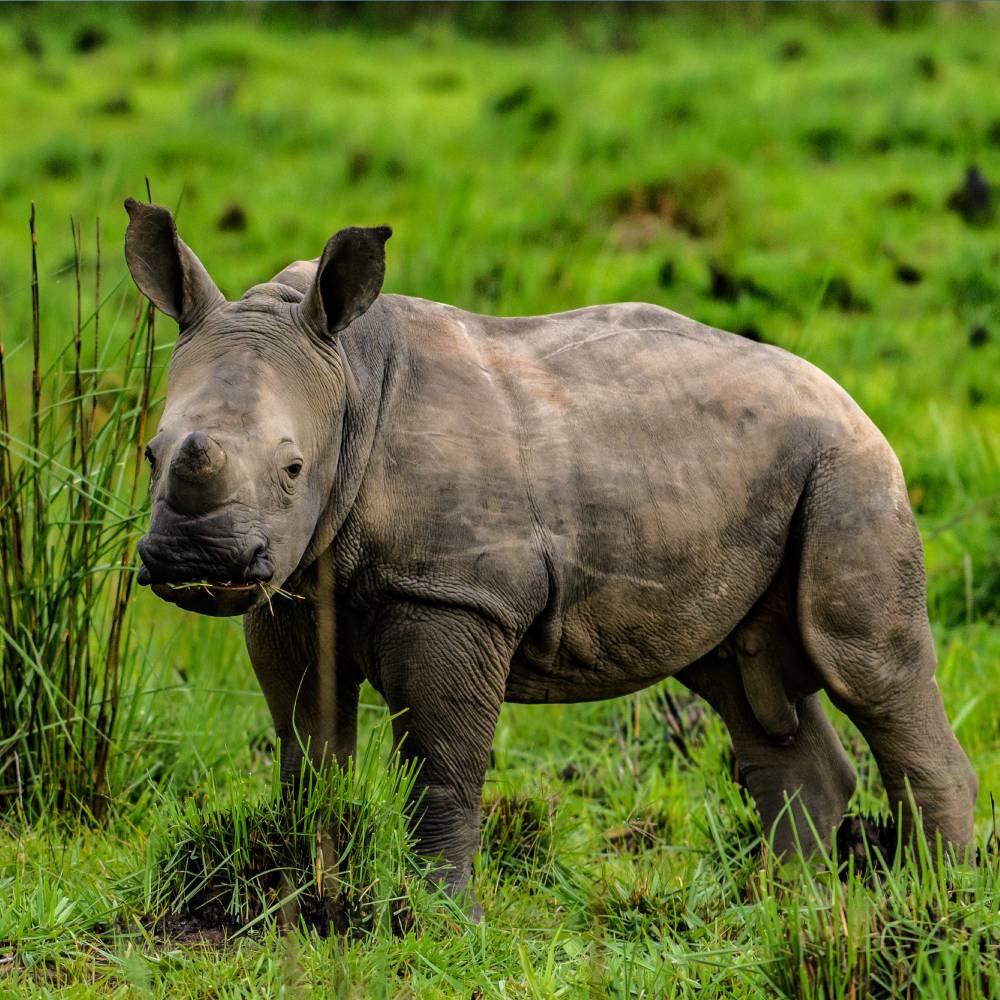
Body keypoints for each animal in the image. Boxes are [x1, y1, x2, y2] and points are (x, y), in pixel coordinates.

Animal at [125, 197, 976, 898]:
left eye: (294, 469)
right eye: (150, 454)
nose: (196, 562)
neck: (348, 383)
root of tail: (848, 396)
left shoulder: (455, 594)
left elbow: (441, 764)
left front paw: (439, 919)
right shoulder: (298, 589)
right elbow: (307, 751)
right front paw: (307, 896)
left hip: (850, 469)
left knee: (868, 669)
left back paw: (938, 907)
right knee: (736, 674)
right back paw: (781, 906)